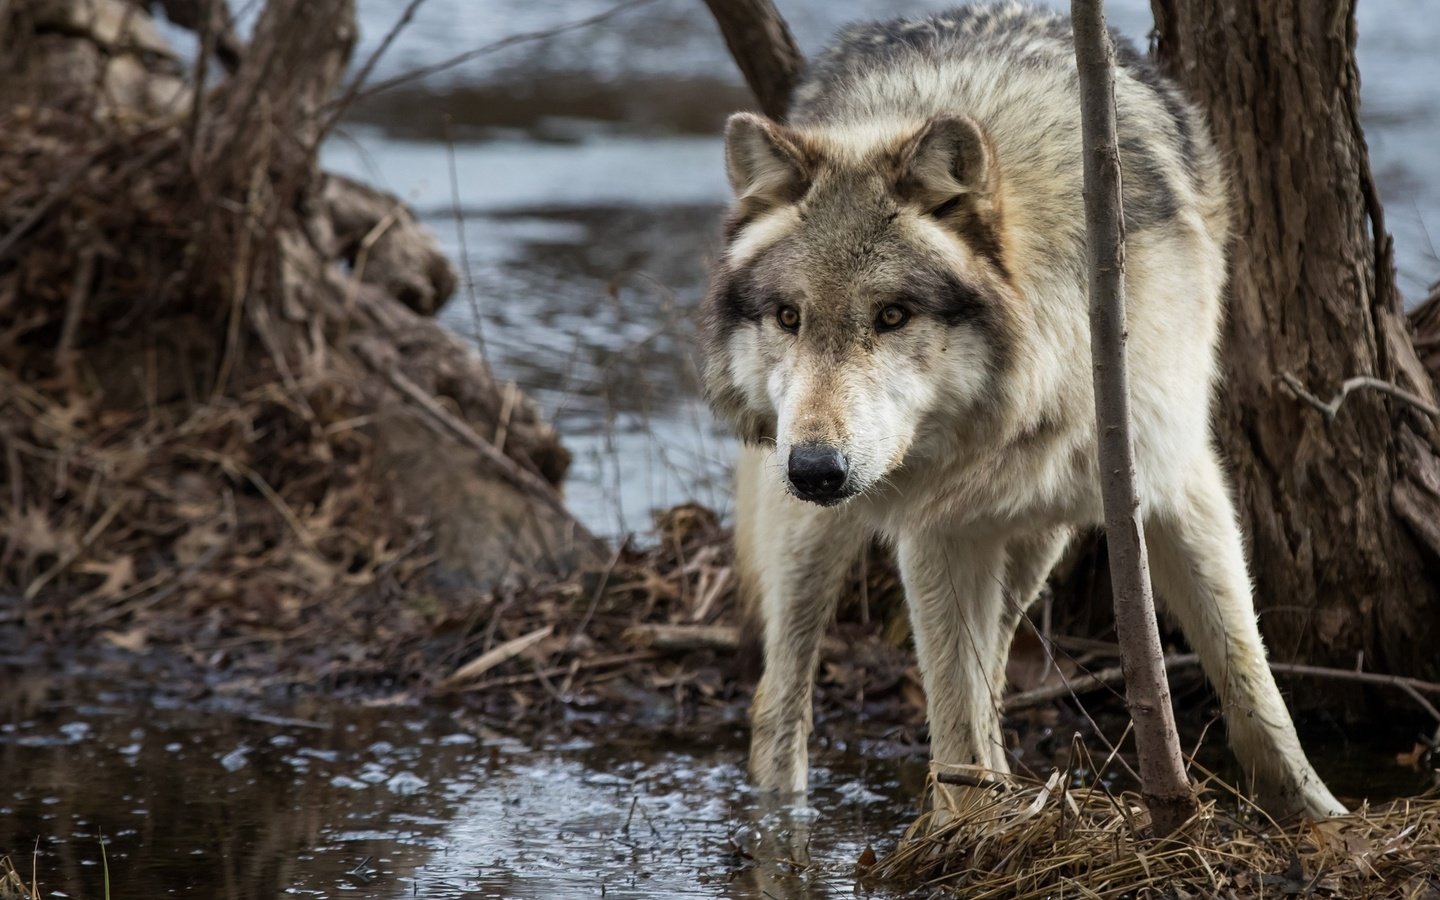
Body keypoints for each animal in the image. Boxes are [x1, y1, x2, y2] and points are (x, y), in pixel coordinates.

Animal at [702, 3, 1342, 817]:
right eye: (789, 316)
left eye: (892, 315)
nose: (815, 469)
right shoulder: (935, 526)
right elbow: (953, 717)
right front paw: (966, 831)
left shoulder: (1177, 481)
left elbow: (1253, 686)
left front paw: (1322, 818)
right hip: (813, 536)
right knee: (779, 702)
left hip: (1036, 540)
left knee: (998, 656)